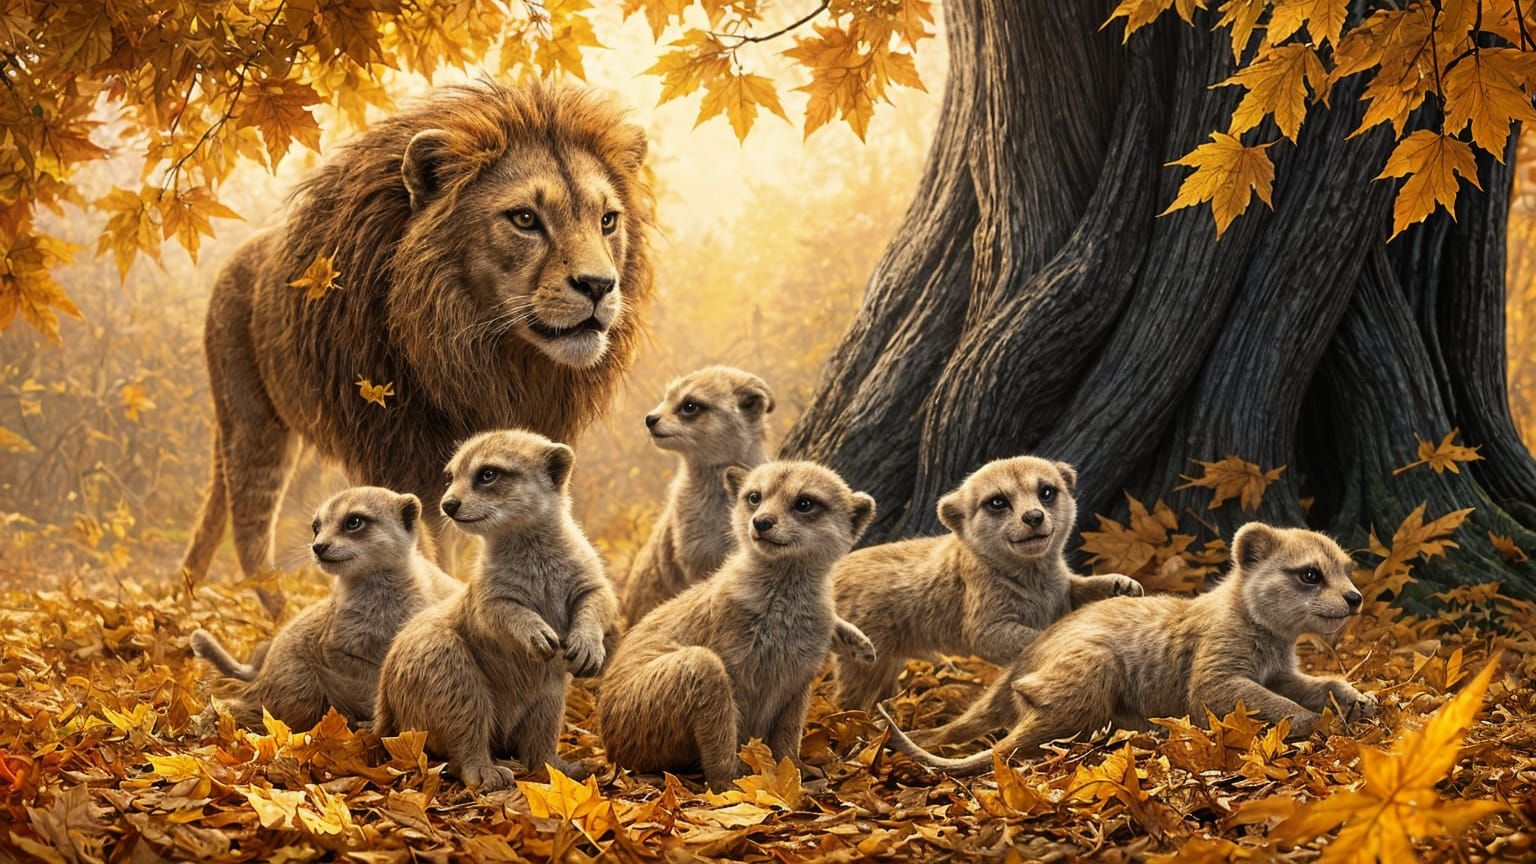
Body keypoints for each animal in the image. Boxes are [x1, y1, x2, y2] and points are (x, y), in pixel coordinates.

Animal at [180, 81, 654, 612]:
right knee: (250, 530)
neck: (485, 356)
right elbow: (424, 544)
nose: (598, 285)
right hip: (253, 426)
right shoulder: (402, 455)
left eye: (607, 220)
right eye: (525, 219)